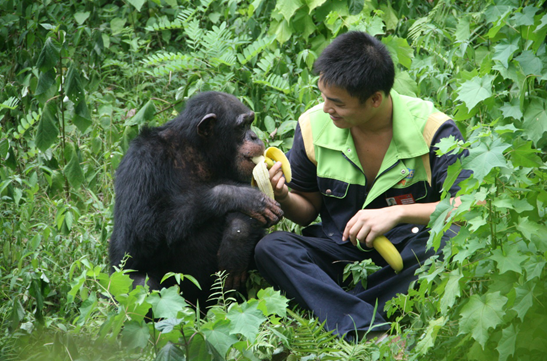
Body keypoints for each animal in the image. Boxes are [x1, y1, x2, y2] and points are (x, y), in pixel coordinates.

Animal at [109, 90, 284, 306]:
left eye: (250, 123)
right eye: (242, 126)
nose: (254, 136)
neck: (198, 152)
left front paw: (237, 236)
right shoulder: (142, 161)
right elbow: (138, 231)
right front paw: (240, 196)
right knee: (142, 284)